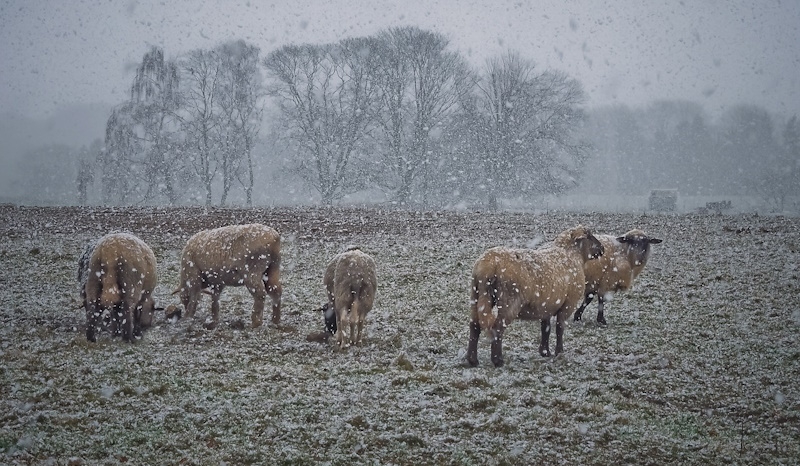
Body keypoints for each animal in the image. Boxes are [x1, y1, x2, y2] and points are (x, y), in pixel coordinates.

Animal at [466, 226, 604, 368]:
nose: (602, 248)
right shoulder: (568, 304)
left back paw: (472, 360)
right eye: (589, 235)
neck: (573, 255)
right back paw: (498, 360)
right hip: (509, 301)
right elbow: (559, 328)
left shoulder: (547, 305)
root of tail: (489, 265)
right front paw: (559, 352)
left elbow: (546, 328)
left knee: (474, 325)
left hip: (476, 295)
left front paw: (545, 352)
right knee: (497, 328)